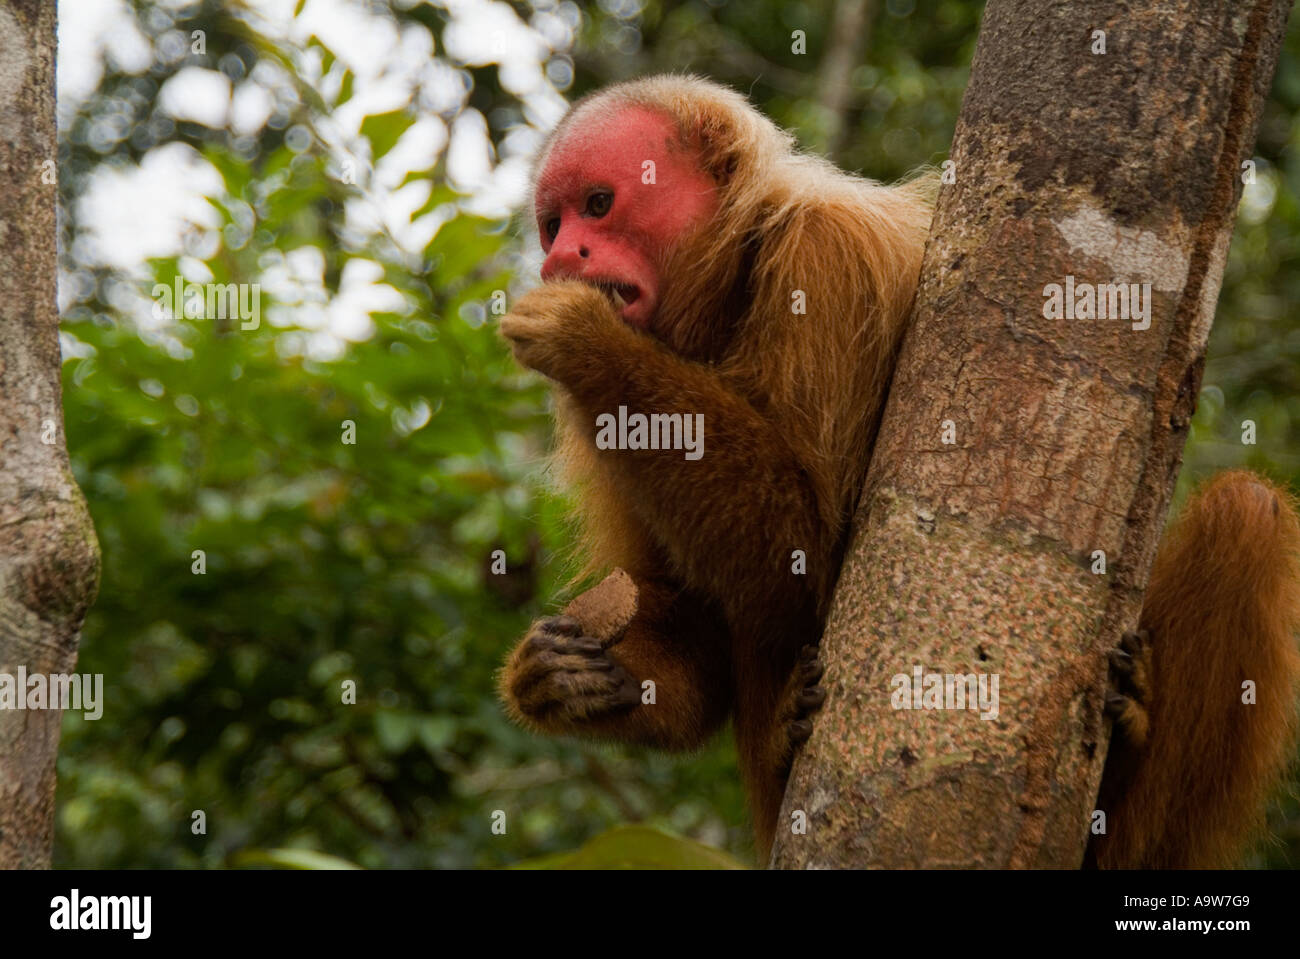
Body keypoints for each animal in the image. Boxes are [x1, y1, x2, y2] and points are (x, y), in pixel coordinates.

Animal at [493, 76, 1300, 868]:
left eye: (600, 204)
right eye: (553, 225)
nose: (563, 260)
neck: (738, 273)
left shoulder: (827, 262)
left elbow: (806, 553)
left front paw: (588, 342)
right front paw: (559, 678)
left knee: (1248, 512)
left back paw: (1133, 730)